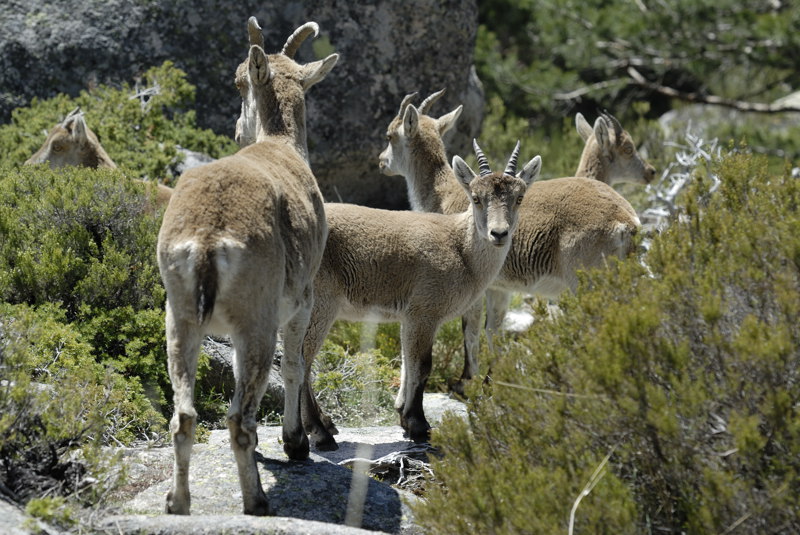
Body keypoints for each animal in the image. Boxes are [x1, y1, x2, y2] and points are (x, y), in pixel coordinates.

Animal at [156, 17, 338, 520]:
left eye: (238, 83)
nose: (238, 130)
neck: (281, 146)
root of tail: (207, 238)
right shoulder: (301, 300)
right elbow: (295, 365)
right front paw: (296, 443)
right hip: (255, 319)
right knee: (238, 417)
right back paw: (256, 500)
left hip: (180, 318)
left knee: (185, 415)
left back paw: (177, 502)